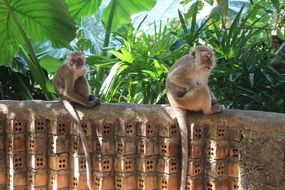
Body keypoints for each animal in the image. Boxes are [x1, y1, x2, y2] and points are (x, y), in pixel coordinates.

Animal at [53, 50, 100, 190]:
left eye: (78, 60)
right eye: (73, 61)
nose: (75, 64)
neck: (76, 69)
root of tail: (60, 97)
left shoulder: (82, 69)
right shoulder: (70, 72)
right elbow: (69, 90)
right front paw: (89, 104)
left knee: (81, 78)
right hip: (70, 97)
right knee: (80, 80)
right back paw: (87, 101)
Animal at [164, 45, 222, 190]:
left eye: (210, 57)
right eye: (205, 57)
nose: (209, 62)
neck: (198, 67)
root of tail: (175, 104)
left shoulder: (206, 73)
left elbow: (206, 84)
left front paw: (214, 98)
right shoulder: (188, 67)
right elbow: (173, 78)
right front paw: (189, 86)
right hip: (188, 101)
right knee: (200, 89)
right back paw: (209, 111)